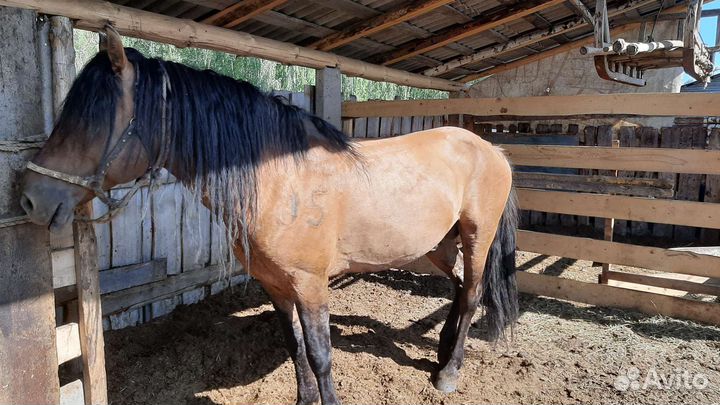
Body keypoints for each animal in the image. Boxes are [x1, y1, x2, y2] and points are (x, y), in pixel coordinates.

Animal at [20, 26, 519, 405]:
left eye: (91, 119)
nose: (28, 199)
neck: (281, 181)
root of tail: (490, 148)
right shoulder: (275, 285)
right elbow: (294, 346)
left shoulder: (312, 286)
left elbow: (320, 355)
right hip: (439, 245)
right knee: (459, 289)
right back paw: (441, 353)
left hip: (476, 237)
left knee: (472, 295)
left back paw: (449, 373)